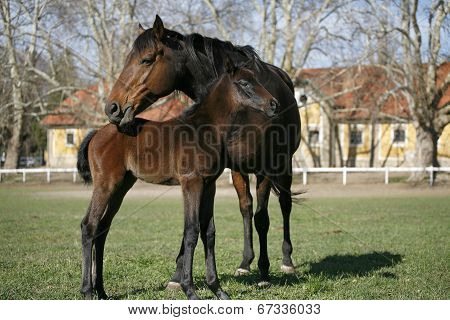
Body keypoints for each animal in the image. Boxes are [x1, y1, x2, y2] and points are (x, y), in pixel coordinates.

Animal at [79, 63, 280, 300]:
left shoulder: (209, 185)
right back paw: (87, 291)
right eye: (244, 83)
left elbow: (209, 232)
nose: (273, 104)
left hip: (121, 187)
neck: (205, 129)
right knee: (89, 225)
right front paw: (189, 290)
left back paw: (101, 291)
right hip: (105, 184)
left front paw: (218, 289)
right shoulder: (191, 183)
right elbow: (191, 231)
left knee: (103, 228)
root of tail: (97, 133)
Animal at [103, 15, 300, 284]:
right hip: (238, 171)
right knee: (246, 208)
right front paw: (178, 274)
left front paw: (264, 271)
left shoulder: (265, 169)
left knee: (284, 205)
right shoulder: (210, 175)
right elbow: (205, 222)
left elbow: (263, 218)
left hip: (283, 164)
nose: (112, 107)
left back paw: (286, 260)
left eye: (147, 59)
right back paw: (245, 262)